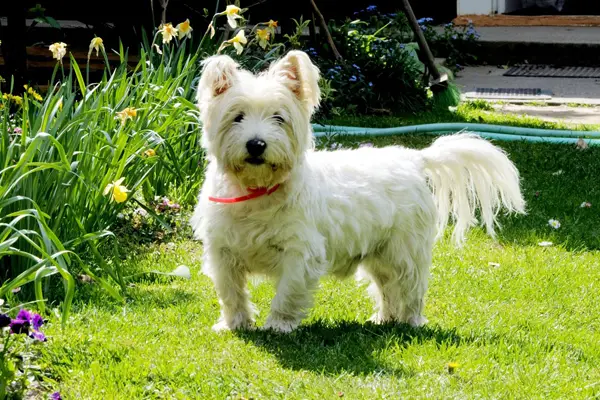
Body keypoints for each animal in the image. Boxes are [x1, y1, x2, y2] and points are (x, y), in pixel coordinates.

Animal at [191, 50, 524, 332]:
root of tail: (415, 158)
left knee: (410, 287)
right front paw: (234, 325)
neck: (256, 192)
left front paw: (278, 325)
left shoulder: (300, 253)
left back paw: (410, 322)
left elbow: (287, 292)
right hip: (379, 255)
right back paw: (383, 319)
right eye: (237, 117)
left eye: (279, 118)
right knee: (387, 288)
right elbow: (231, 293)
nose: (256, 144)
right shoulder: (222, 252)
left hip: (405, 250)